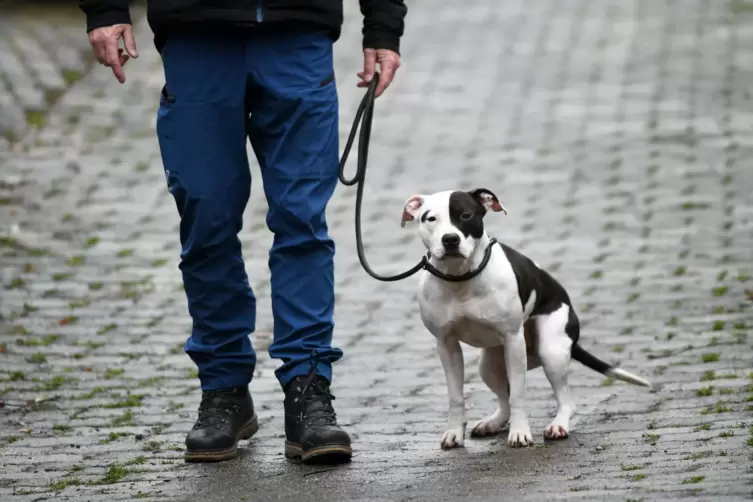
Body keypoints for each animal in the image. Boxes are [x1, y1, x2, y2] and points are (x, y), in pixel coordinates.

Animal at [400, 190, 652, 450]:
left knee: (565, 400)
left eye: (466, 215)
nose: (450, 239)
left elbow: (518, 394)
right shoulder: (447, 345)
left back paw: (558, 426)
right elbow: (456, 396)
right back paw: (492, 423)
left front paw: (520, 433)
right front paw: (453, 433)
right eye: (430, 218)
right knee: (504, 400)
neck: (460, 278)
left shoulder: (513, 341)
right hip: (489, 365)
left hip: (551, 350)